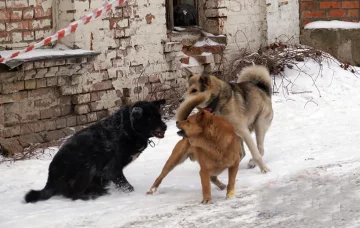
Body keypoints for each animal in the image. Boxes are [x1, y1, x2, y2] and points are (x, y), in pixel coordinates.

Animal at [24, 100, 168, 203]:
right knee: (73, 194)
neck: (128, 128)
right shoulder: (112, 169)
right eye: (151, 119)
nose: (165, 126)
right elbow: (127, 187)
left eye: (159, 116)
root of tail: (50, 179)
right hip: (88, 166)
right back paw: (90, 196)